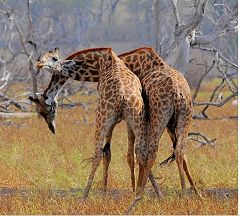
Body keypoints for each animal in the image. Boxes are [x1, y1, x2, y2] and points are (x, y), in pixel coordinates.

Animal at [29, 47, 162, 201]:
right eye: (41, 113)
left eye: (54, 58)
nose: (52, 128)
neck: (98, 63)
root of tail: (122, 96)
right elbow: (119, 152)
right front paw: (136, 190)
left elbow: (110, 152)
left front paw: (107, 191)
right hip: (137, 117)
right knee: (144, 151)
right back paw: (144, 193)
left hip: (103, 116)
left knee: (98, 153)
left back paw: (84, 197)